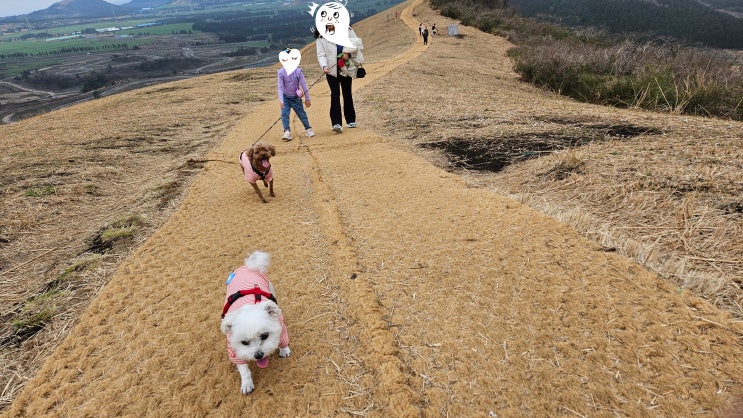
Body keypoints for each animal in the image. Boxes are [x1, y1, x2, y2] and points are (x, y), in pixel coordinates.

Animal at [220, 250, 290, 394]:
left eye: (265, 336)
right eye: (244, 342)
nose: (258, 355)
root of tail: (248, 266)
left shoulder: (281, 328)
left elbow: (283, 341)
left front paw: (284, 350)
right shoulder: (233, 350)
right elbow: (244, 370)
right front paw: (247, 384)